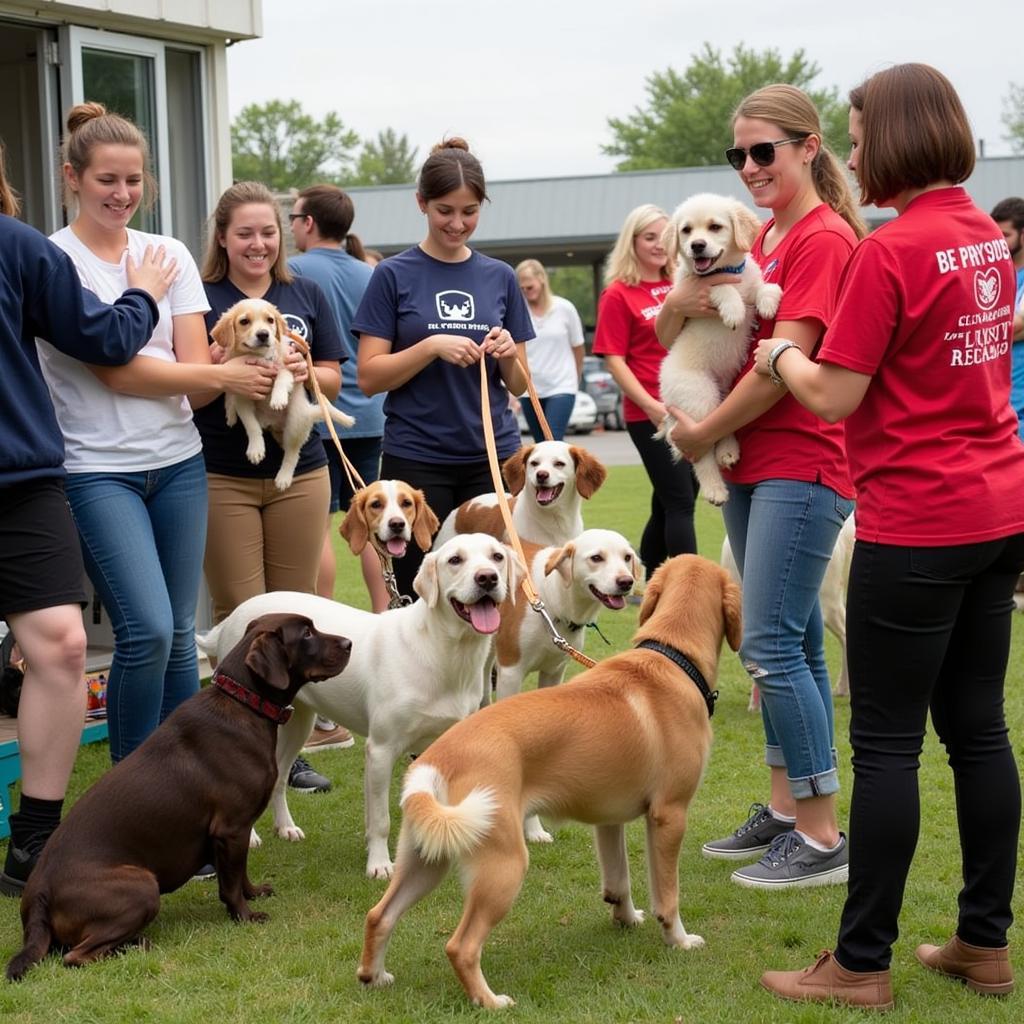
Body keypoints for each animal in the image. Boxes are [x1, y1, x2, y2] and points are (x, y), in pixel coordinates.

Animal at [207, 296, 356, 491]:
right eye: (244, 321)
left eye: (270, 320)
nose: (263, 334)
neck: (260, 357)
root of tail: (309, 413)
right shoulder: (243, 396)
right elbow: (251, 426)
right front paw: (256, 449)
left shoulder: (289, 365)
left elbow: (282, 378)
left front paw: (278, 398)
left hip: (295, 423)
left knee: (293, 454)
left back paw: (283, 477)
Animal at [360, 552, 745, 1007]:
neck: (671, 656)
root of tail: (441, 758)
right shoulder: (669, 817)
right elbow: (667, 893)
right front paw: (679, 940)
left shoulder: (608, 820)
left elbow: (619, 879)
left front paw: (625, 916)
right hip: (503, 866)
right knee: (461, 945)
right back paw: (490, 1000)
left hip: (425, 859)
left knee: (379, 915)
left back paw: (374, 975)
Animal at [655, 193, 782, 505]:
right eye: (686, 230)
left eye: (715, 227)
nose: (696, 245)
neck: (725, 270)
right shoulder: (694, 288)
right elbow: (720, 289)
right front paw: (734, 311)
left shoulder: (750, 281)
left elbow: (765, 286)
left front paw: (768, 303)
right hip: (699, 396)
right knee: (702, 452)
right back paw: (715, 489)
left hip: (724, 390)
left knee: (721, 424)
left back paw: (729, 450)